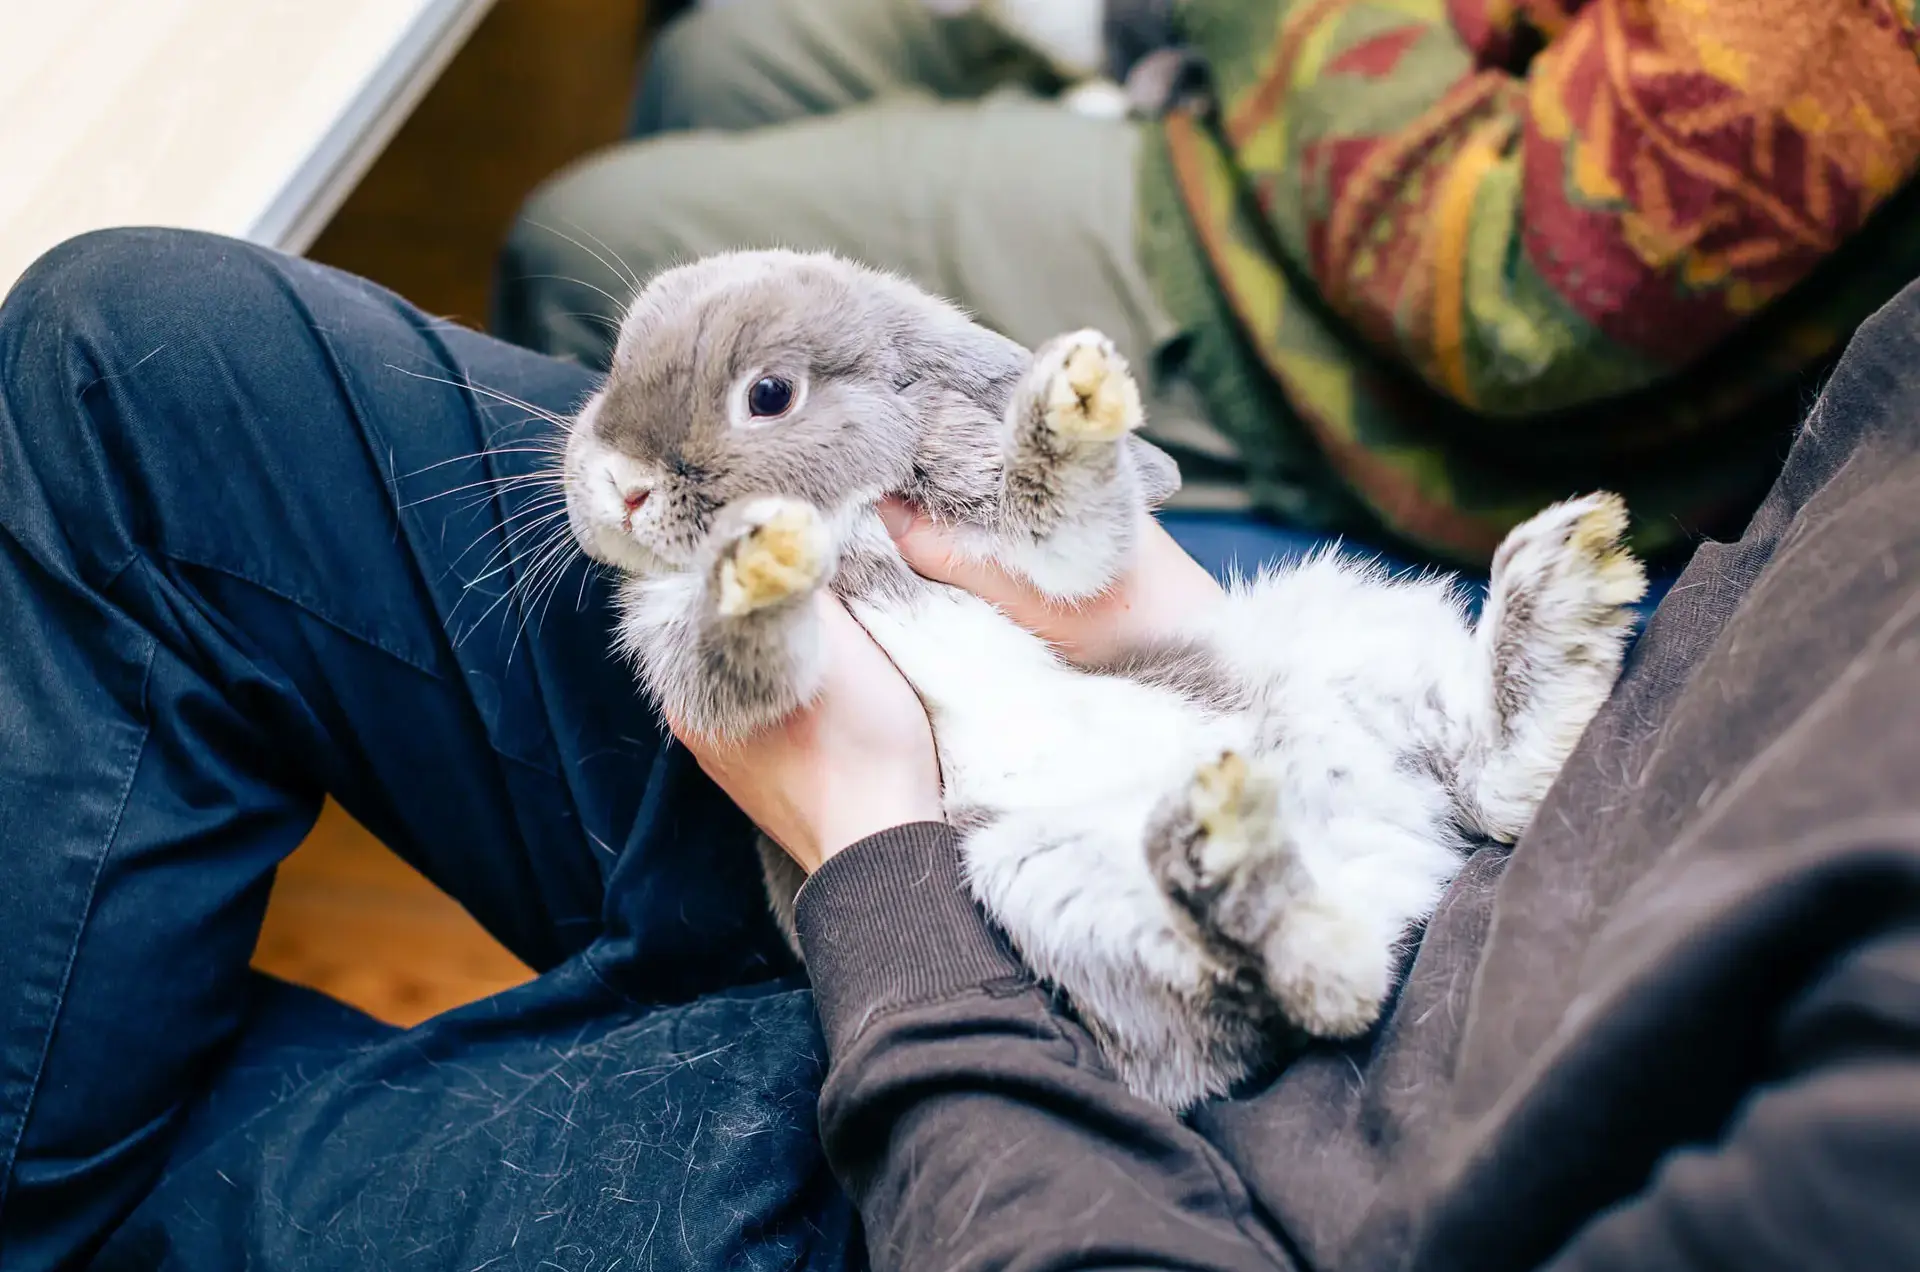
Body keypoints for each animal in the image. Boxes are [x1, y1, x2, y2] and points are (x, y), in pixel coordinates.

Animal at [560, 251, 1651, 1114]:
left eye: (770, 394)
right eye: (612, 371)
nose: (621, 484)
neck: (850, 521)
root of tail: (1399, 850)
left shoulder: (993, 520)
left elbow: (1061, 531)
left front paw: (1075, 405)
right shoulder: (682, 646)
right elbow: (736, 663)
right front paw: (758, 568)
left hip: (1344, 642)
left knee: (1458, 826)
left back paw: (1562, 580)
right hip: (1054, 878)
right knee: (1310, 986)